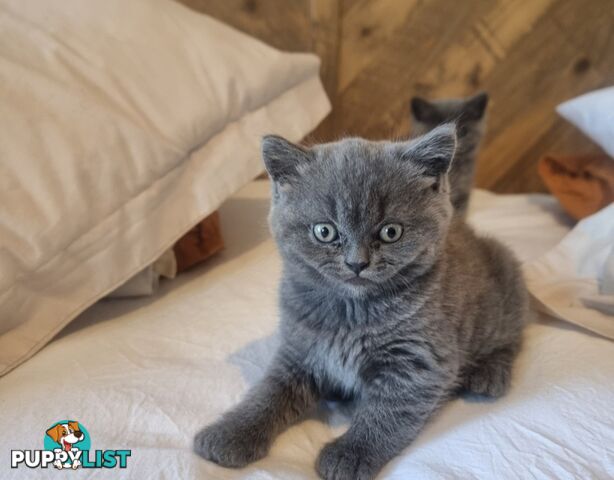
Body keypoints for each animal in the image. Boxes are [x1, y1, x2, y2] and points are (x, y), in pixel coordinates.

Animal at [196, 124, 528, 480]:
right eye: (324, 231)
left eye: (391, 232)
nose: (357, 263)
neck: (351, 312)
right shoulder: (298, 348)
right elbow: (268, 392)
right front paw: (230, 434)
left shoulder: (419, 363)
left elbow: (386, 414)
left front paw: (349, 455)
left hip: (504, 280)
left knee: (512, 334)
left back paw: (489, 374)